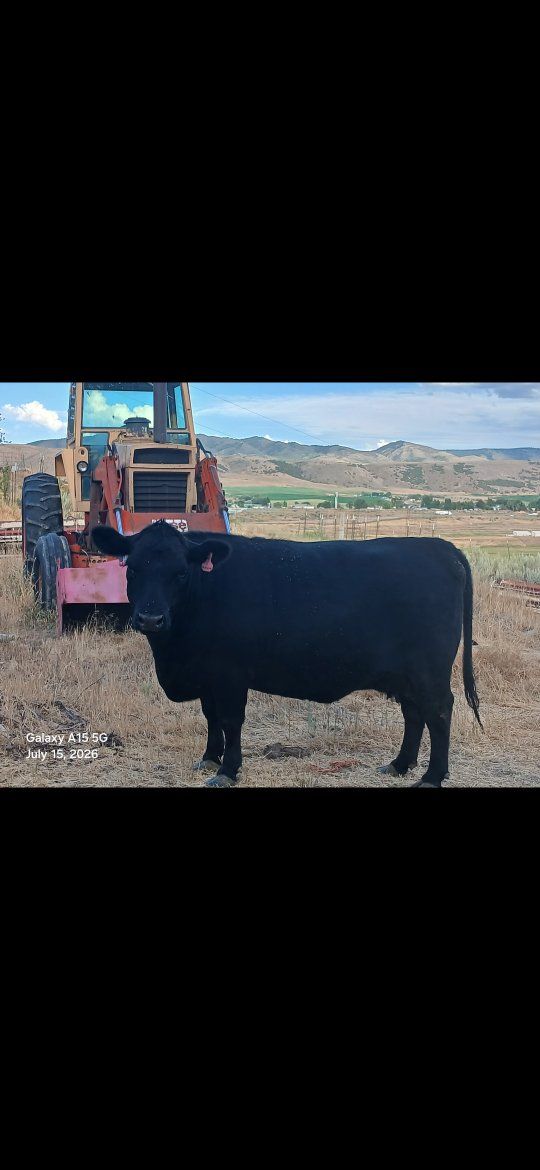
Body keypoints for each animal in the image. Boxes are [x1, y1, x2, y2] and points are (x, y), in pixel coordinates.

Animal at [91, 521, 482, 788]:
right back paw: (399, 765)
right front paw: (209, 758)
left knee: (439, 712)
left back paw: (432, 776)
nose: (150, 618)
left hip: (429, 671)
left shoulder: (229, 674)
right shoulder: (207, 676)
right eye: (132, 568)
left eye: (180, 573)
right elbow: (211, 717)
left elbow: (231, 720)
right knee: (414, 713)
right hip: (405, 675)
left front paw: (227, 770)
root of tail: (441, 547)